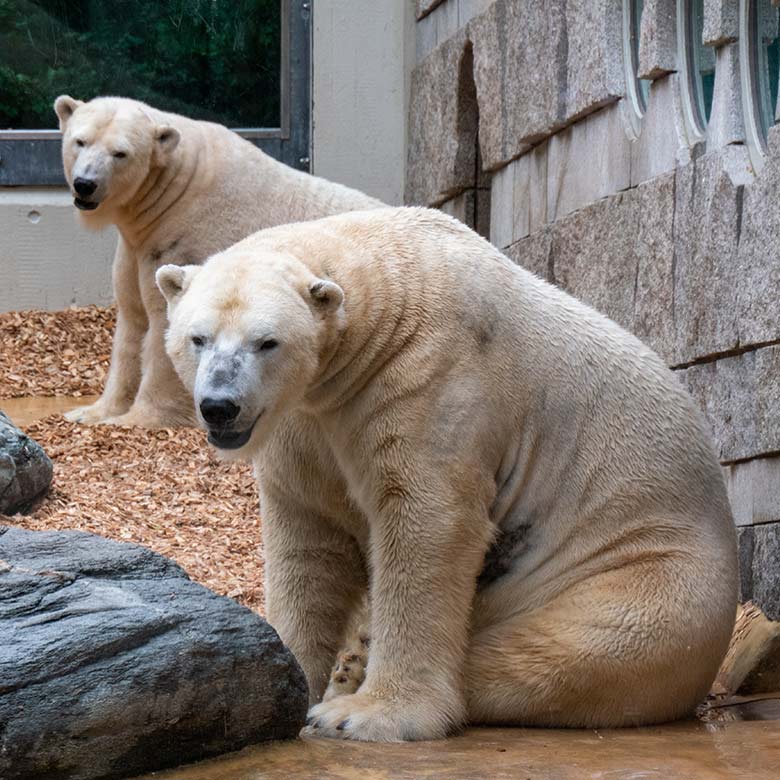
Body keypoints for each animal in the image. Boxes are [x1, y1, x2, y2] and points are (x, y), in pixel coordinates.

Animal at [54, 96, 380, 432]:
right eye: (80, 141)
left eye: (120, 153)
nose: (85, 184)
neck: (174, 191)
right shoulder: (137, 247)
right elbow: (132, 320)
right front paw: (91, 412)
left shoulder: (187, 241)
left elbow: (166, 322)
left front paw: (137, 419)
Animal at [155, 204, 736, 740]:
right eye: (198, 338)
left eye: (267, 342)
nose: (220, 406)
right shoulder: (305, 423)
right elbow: (309, 542)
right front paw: (282, 675)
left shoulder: (430, 376)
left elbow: (427, 524)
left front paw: (367, 715)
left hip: (640, 578)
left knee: (558, 652)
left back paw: (356, 685)